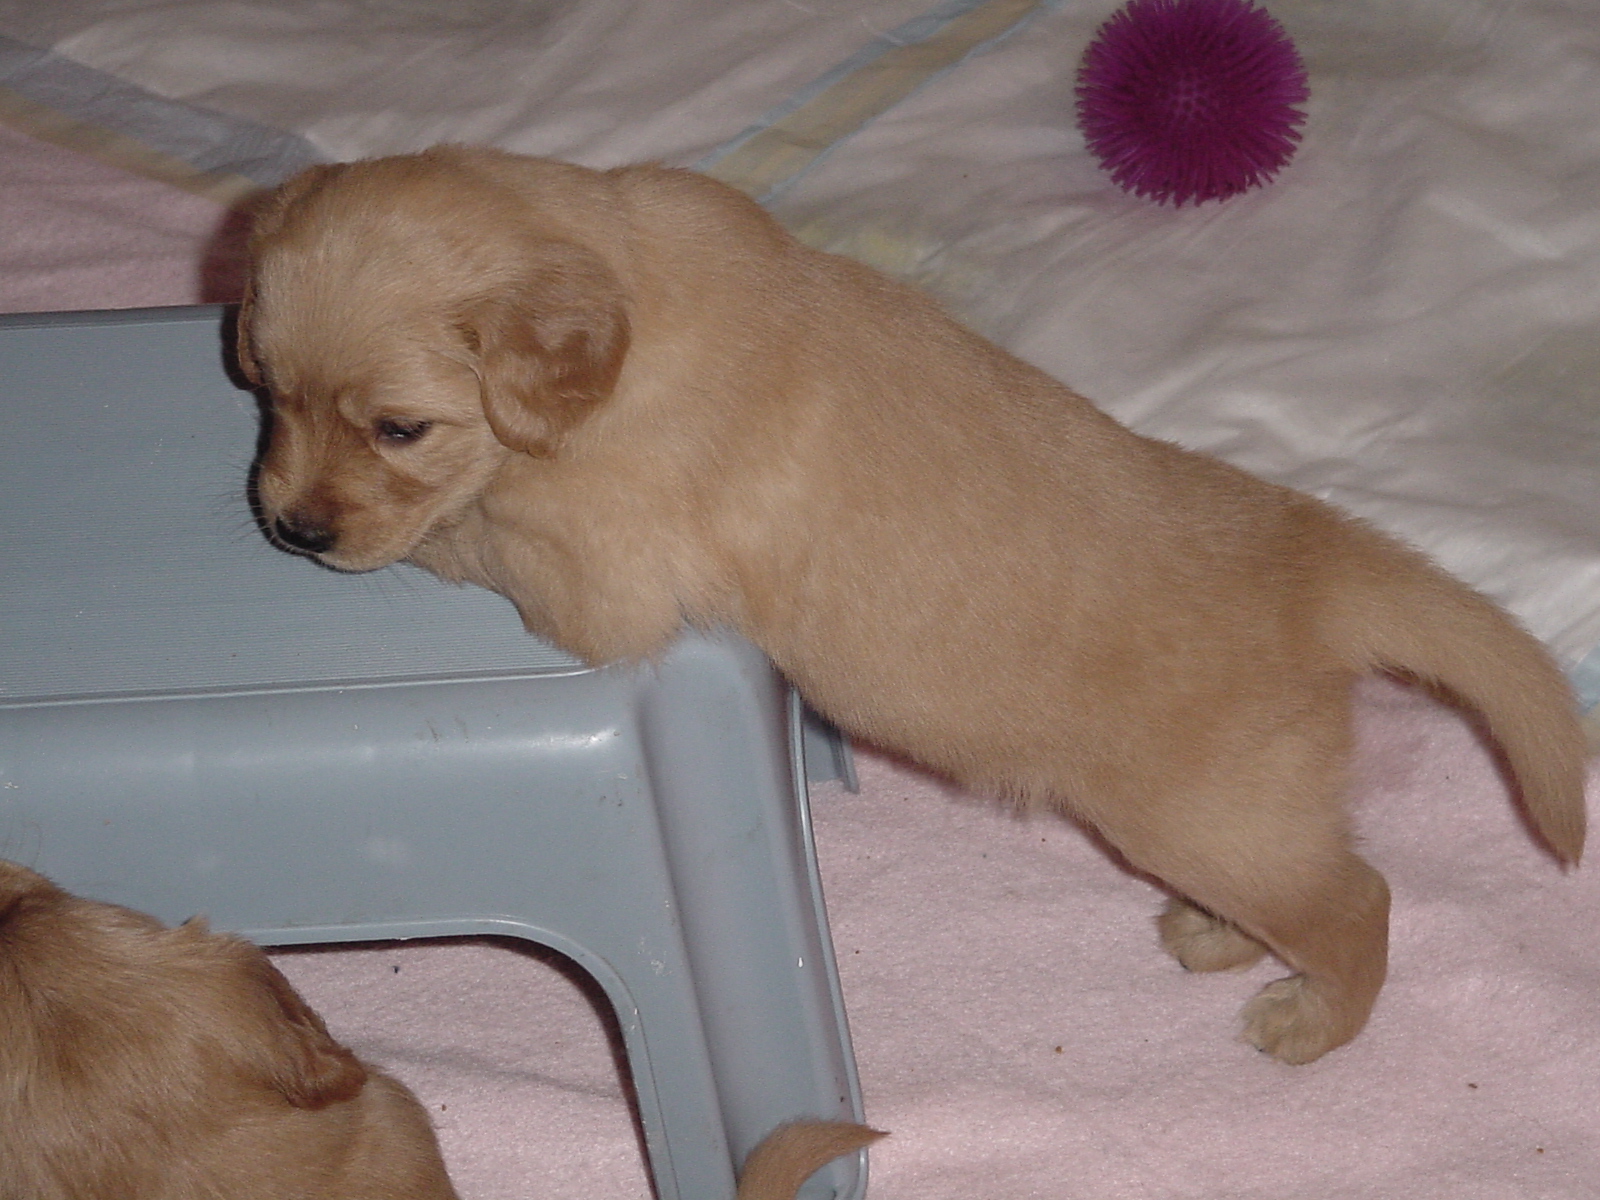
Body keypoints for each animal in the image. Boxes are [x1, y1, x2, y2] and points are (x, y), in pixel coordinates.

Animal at [240, 148, 1587, 1062]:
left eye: (398, 427)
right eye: (266, 387)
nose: (290, 529)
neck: (631, 297)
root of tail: (1318, 558)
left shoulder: (601, 584)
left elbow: (467, 530)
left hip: (1209, 817)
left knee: (1356, 901)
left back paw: (1308, 1022)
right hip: (1235, 823)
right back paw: (1212, 939)